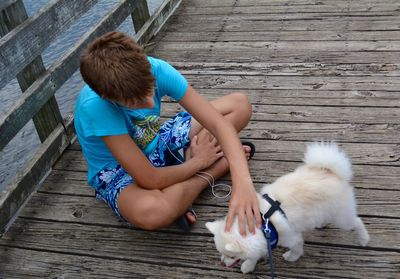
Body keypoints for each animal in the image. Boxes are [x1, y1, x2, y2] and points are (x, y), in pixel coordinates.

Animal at [206, 143, 368, 274]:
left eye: (231, 256)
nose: (222, 263)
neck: (264, 223)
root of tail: (332, 172)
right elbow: (256, 254)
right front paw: (249, 265)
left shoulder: (292, 237)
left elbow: (296, 248)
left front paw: (291, 257)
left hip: (342, 217)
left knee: (357, 221)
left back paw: (364, 239)